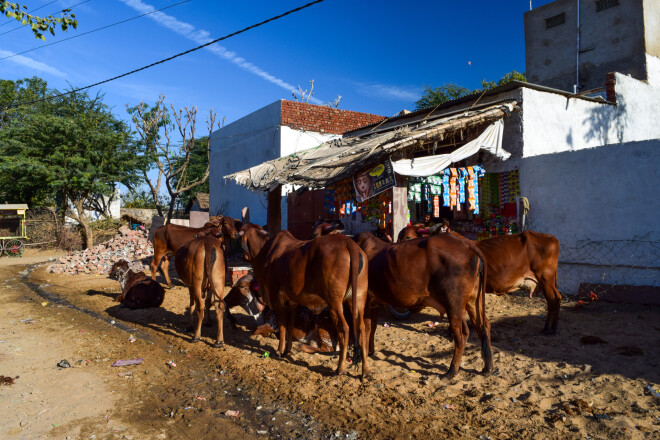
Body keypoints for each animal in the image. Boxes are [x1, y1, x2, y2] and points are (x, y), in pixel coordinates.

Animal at [240, 223, 372, 378]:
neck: (265, 251)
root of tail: (349, 243)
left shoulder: (277, 299)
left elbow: (282, 326)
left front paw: (279, 350)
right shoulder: (292, 302)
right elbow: (290, 325)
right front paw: (287, 350)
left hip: (335, 302)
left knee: (344, 329)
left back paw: (340, 368)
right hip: (358, 299)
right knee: (362, 328)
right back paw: (366, 371)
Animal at [356, 230, 490, 378]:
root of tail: (467, 245)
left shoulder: (365, 302)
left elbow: (365, 329)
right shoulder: (373, 303)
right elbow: (372, 327)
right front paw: (370, 351)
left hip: (453, 304)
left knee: (461, 335)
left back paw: (452, 370)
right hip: (473, 301)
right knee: (483, 326)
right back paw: (487, 367)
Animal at [398, 230, 564, 334]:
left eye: (407, 237)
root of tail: (553, 238)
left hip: (546, 278)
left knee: (554, 300)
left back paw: (548, 329)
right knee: (555, 300)